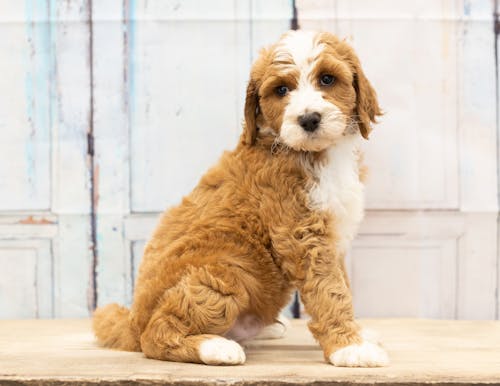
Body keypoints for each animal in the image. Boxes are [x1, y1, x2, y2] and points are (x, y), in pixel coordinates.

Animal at [94, 28, 390, 366]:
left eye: (327, 79)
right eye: (282, 89)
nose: (309, 119)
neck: (312, 153)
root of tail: (133, 322)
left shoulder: (332, 237)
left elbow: (342, 284)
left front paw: (359, 334)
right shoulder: (303, 236)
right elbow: (329, 290)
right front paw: (349, 347)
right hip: (224, 271)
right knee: (155, 335)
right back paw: (216, 347)